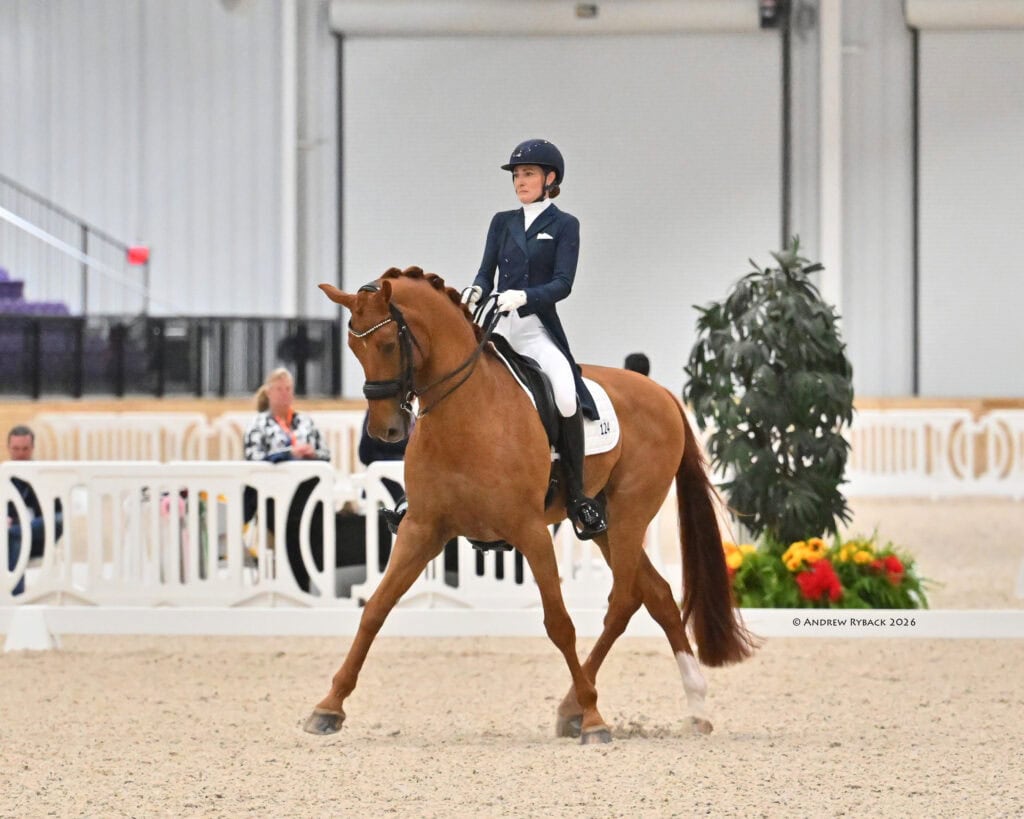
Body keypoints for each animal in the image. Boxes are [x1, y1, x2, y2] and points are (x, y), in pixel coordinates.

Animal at [307, 266, 756, 743]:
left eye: (390, 344)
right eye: (353, 346)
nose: (386, 431)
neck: (465, 411)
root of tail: (661, 393)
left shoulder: (530, 531)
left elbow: (559, 623)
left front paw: (595, 719)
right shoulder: (422, 529)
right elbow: (375, 608)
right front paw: (328, 707)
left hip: (630, 513)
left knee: (622, 601)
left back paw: (582, 708)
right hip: (603, 524)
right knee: (656, 596)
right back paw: (692, 706)